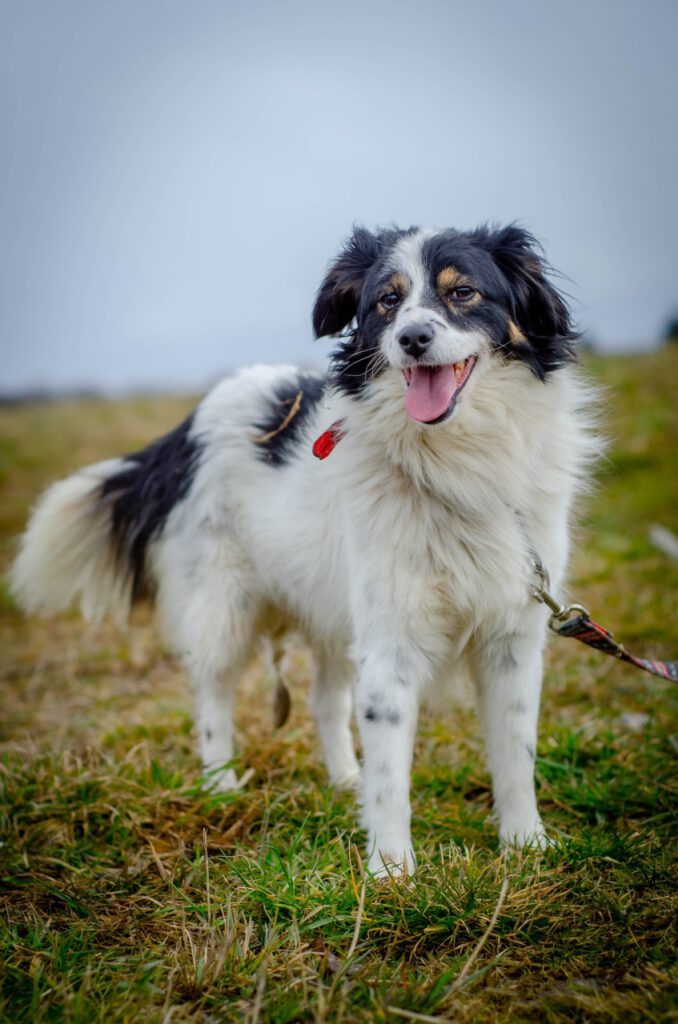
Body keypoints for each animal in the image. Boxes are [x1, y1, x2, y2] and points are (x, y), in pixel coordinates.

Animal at [9, 228, 594, 876]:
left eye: (463, 292)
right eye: (387, 301)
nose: (412, 338)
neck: (452, 462)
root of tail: (191, 423)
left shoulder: (512, 637)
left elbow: (516, 753)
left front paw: (526, 844)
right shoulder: (390, 640)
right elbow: (392, 770)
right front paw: (391, 872)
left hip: (331, 610)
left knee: (324, 702)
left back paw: (345, 781)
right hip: (224, 608)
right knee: (212, 695)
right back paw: (220, 785)